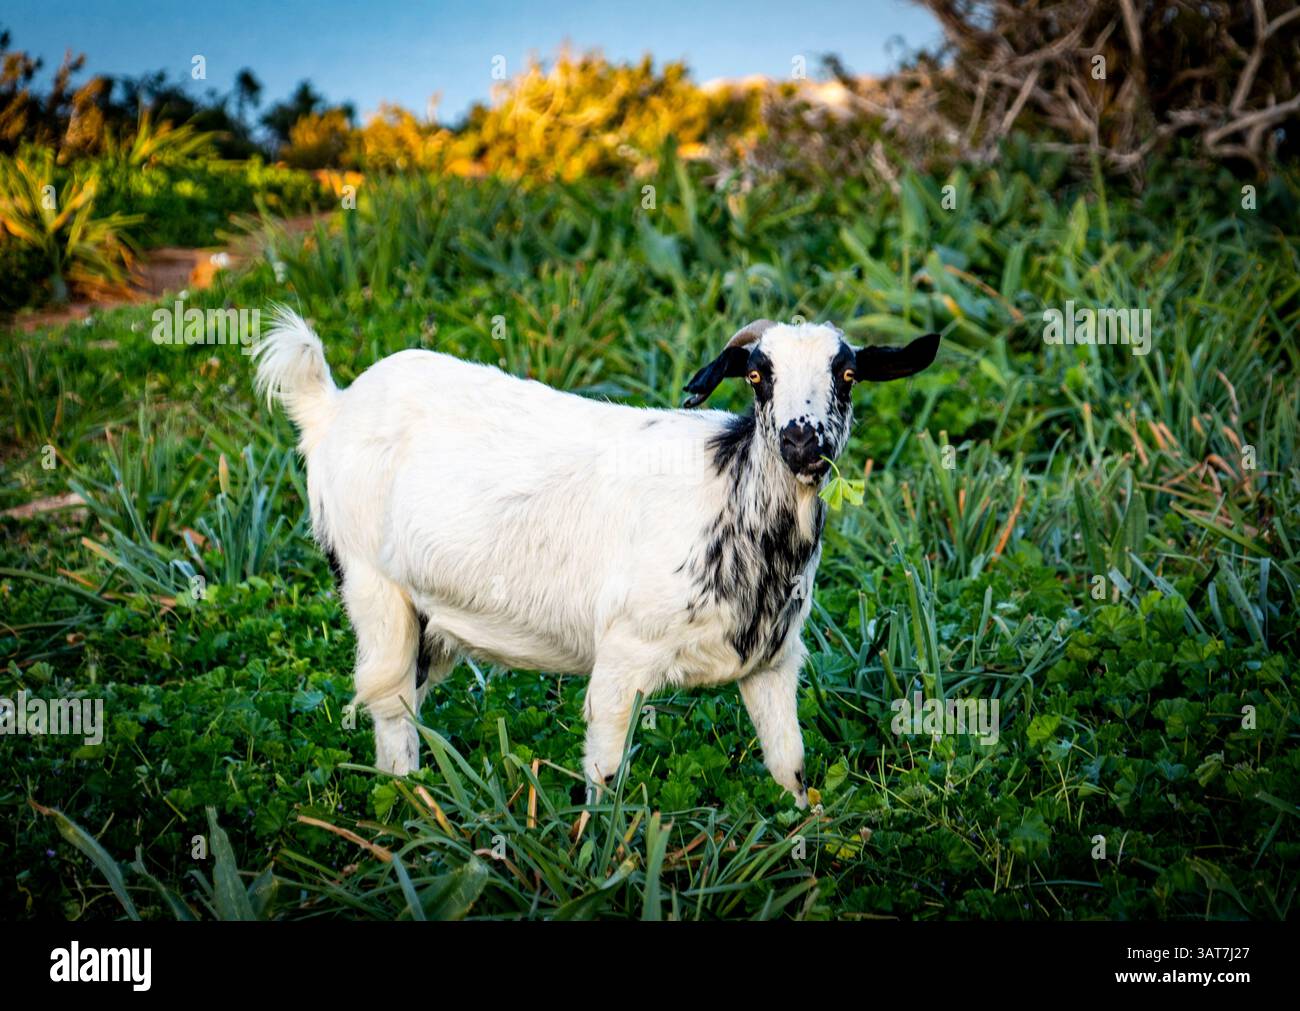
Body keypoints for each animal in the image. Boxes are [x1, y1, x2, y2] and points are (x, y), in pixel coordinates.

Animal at [254, 309, 939, 806]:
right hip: (371, 583)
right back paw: (409, 810)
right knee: (389, 703)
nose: (802, 441)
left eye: (846, 375)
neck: (728, 498)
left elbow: (790, 768)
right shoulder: (623, 655)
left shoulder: (771, 661)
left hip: (431, 621)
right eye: (756, 376)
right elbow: (605, 775)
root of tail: (332, 407)